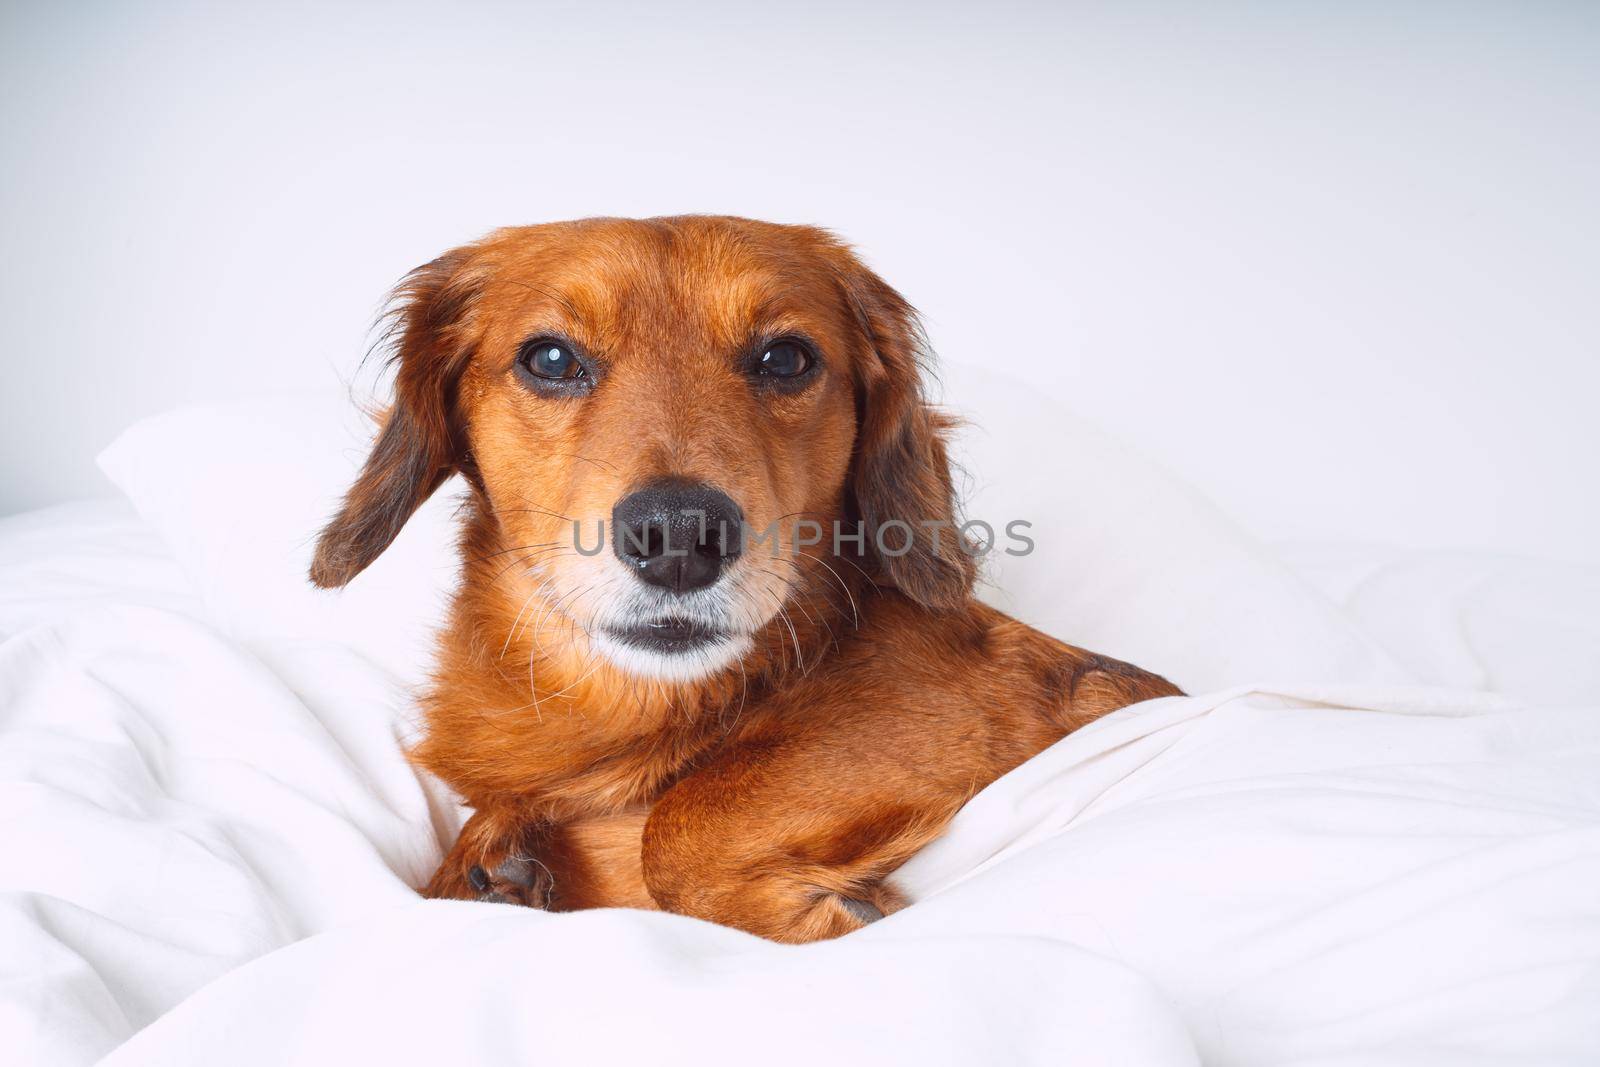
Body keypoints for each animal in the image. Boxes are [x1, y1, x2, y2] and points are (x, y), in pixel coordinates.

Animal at [308, 214, 1177, 940]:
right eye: (550, 358)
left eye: (785, 358)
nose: (678, 534)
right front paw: (503, 864)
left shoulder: (989, 700)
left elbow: (681, 821)